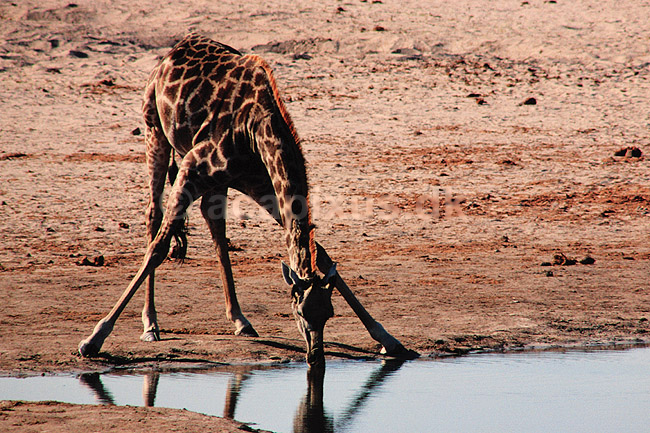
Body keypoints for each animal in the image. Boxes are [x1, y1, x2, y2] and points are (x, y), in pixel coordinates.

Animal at [78, 33, 410, 367]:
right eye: (300, 311)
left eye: (329, 313)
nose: (316, 357)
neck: (256, 130)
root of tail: (173, 51)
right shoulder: (191, 169)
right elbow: (159, 249)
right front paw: (94, 338)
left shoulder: (264, 186)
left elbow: (325, 255)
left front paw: (387, 339)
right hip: (154, 132)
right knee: (153, 215)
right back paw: (150, 324)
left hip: (216, 180)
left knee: (213, 223)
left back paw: (240, 320)